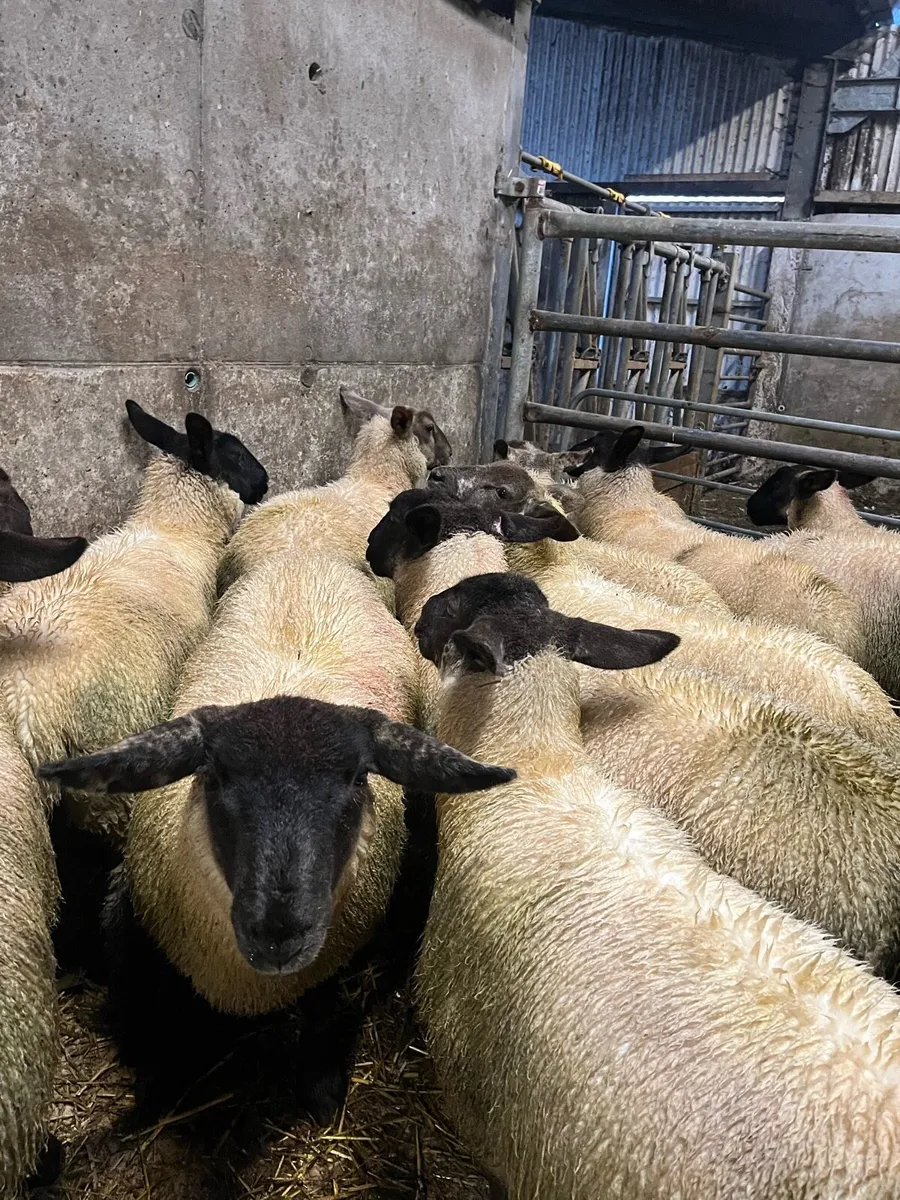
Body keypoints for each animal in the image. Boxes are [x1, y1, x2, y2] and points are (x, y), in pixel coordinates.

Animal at [39, 545, 512, 1118]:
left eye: (358, 778)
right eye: (216, 776)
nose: (279, 931)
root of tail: (307, 556)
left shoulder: (340, 962)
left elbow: (326, 1019)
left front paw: (323, 1093)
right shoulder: (142, 936)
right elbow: (160, 1021)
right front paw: (161, 1084)